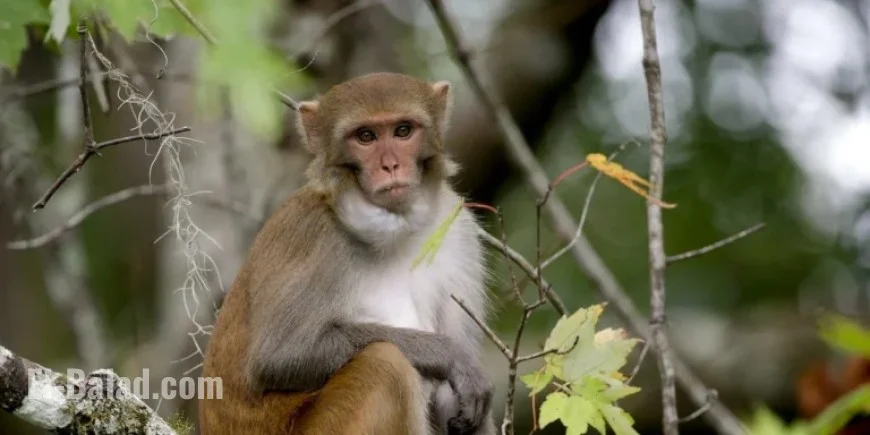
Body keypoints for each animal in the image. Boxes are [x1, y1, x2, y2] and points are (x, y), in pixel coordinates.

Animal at [199, 72, 496, 435]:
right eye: (365, 137)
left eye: (403, 131)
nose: (390, 165)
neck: (396, 231)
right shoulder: (311, 233)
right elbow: (279, 357)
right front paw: (449, 355)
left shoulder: (458, 231)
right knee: (385, 364)